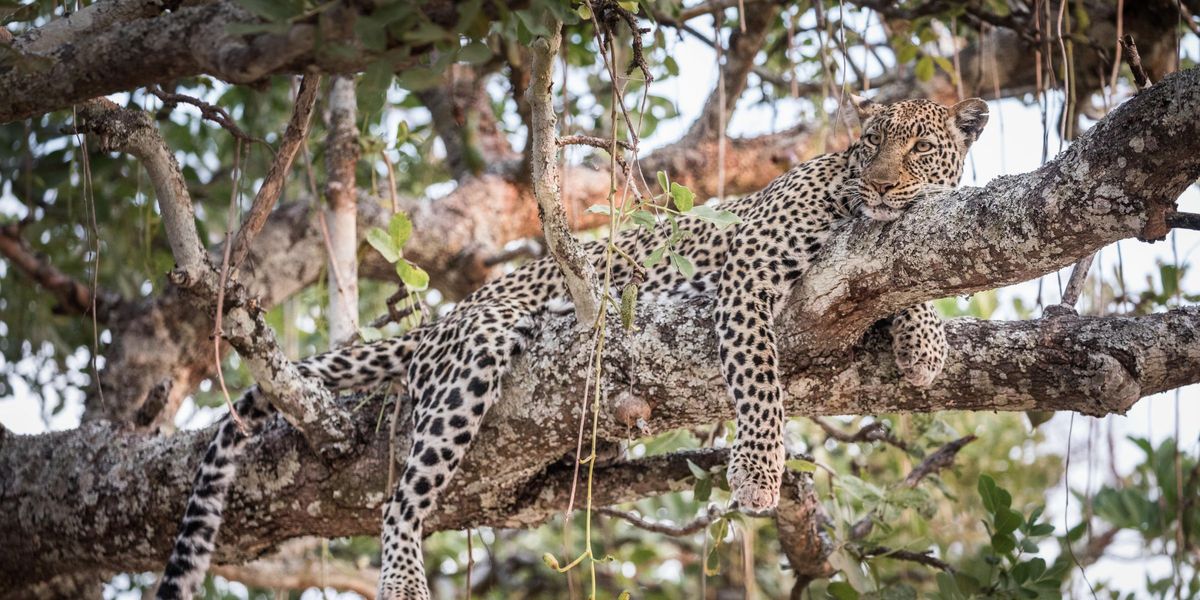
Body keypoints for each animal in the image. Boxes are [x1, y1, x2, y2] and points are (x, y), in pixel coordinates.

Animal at [154, 96, 988, 597]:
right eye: (870, 144)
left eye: (919, 146)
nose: (881, 184)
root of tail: (450, 314)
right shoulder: (747, 273)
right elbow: (759, 382)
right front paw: (758, 475)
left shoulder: (885, 259)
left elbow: (907, 287)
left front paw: (923, 344)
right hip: (476, 354)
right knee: (400, 498)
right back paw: (405, 578)